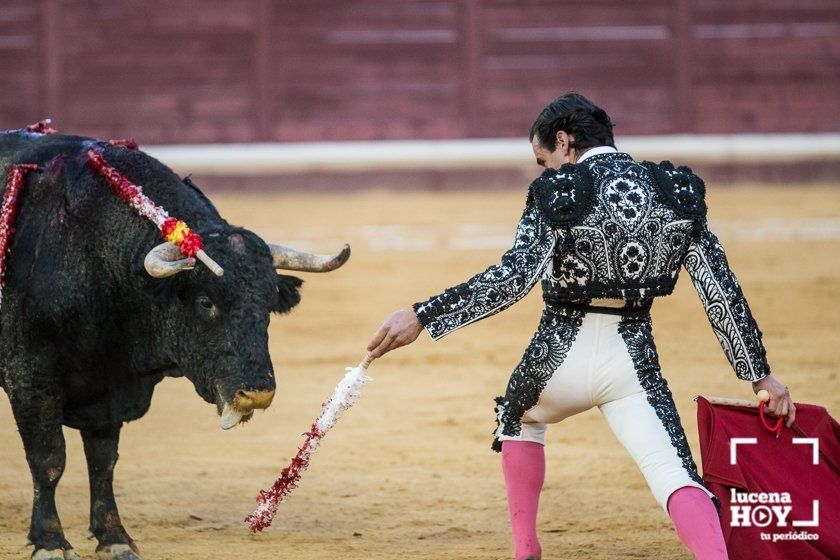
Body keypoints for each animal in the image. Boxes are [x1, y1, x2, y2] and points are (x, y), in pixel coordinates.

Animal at [0, 132, 348, 560]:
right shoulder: (30, 376)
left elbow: (103, 462)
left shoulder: (107, 387)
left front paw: (114, 538)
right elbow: (48, 459)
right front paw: (49, 542)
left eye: (268, 304)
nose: (257, 394)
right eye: (205, 302)